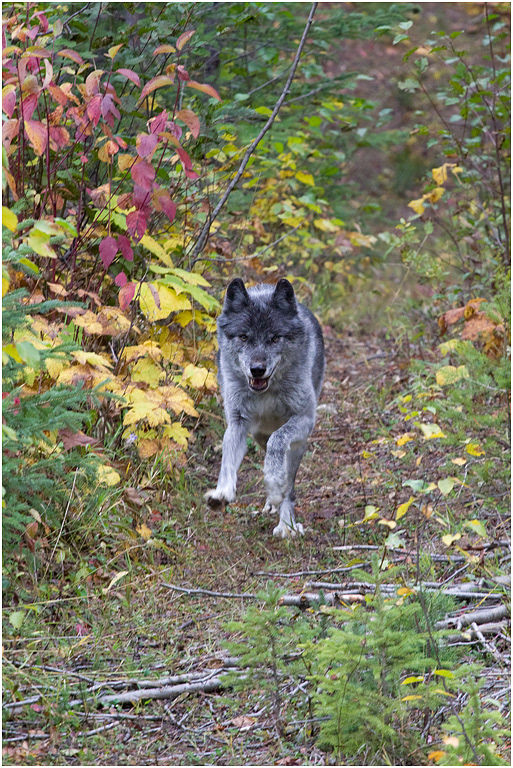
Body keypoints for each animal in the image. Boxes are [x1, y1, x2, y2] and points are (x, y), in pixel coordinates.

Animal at [205, 277, 325, 538]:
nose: (257, 369)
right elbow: (227, 461)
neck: (266, 393)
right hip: (258, 434)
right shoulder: (237, 423)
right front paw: (221, 494)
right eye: (243, 337)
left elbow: (278, 442)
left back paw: (286, 522)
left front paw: (275, 485)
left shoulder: (305, 418)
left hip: (298, 444)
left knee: (288, 480)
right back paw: (272, 503)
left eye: (274, 338)